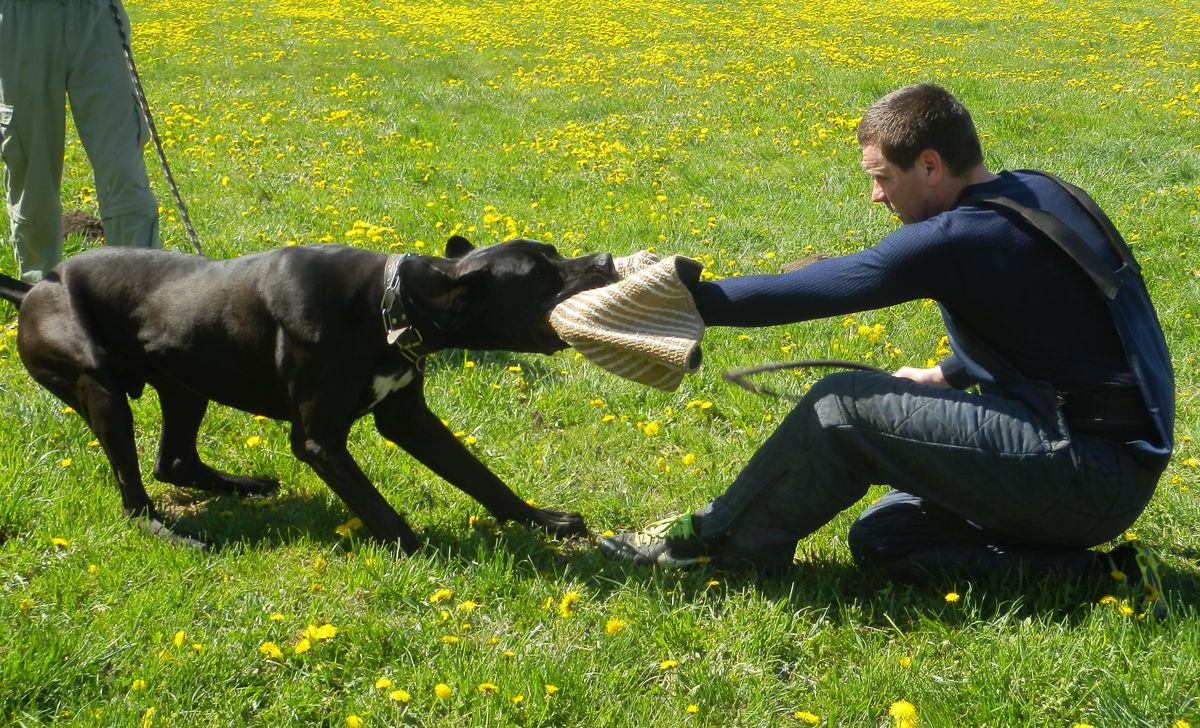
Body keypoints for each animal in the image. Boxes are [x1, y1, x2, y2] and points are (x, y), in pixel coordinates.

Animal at [0, 236, 617, 551]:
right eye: (541, 274)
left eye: (554, 251)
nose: (606, 259)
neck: (390, 307)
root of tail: (37, 286)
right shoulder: (320, 441)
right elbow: (378, 509)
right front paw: (423, 549)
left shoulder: (410, 419)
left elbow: (482, 479)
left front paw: (543, 519)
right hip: (100, 388)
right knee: (133, 491)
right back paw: (169, 531)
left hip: (185, 384)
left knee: (172, 461)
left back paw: (243, 485)